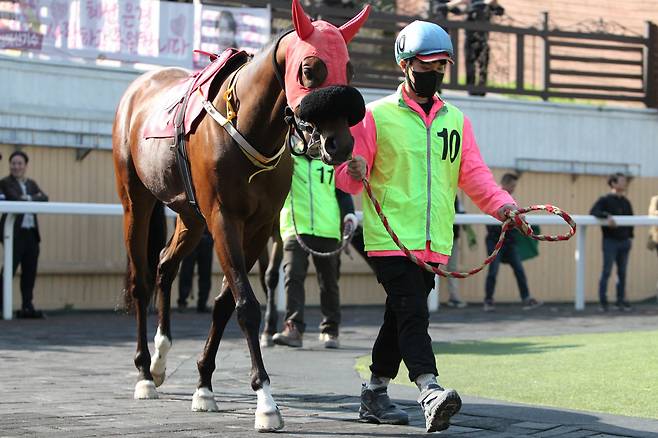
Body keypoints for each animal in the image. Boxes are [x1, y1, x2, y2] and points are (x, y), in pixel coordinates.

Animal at [111, 0, 368, 432]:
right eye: (309, 69)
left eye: (348, 69)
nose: (340, 143)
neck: (247, 126)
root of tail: (138, 88)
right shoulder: (223, 219)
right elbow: (246, 304)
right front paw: (265, 400)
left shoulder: (259, 225)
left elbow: (225, 302)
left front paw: (203, 385)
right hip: (137, 200)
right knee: (142, 280)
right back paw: (145, 372)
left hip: (190, 216)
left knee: (165, 264)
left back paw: (162, 359)